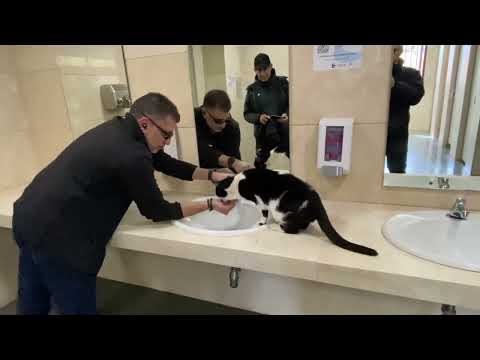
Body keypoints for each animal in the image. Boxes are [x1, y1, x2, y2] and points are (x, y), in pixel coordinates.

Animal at [217, 168, 378, 256]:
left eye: (217, 192)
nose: (215, 198)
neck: (236, 183)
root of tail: (315, 198)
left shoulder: (260, 201)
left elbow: (263, 213)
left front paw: (263, 222)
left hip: (281, 210)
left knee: (292, 230)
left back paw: (277, 227)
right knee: (303, 225)